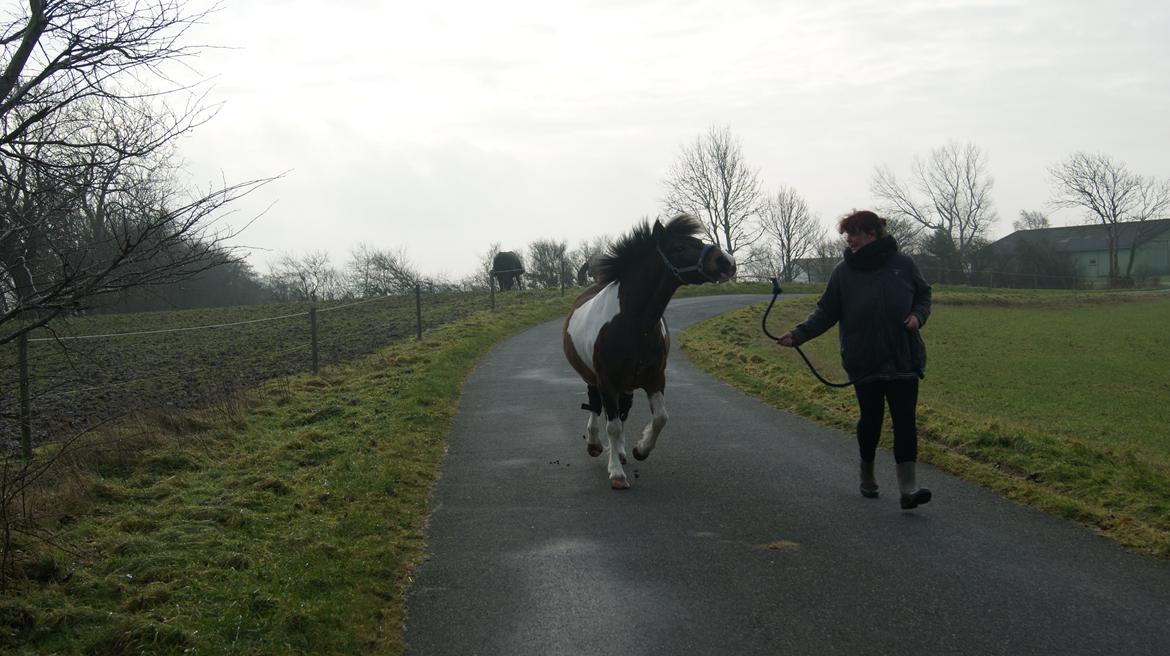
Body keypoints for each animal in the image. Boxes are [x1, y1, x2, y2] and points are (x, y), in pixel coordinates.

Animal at [561, 213, 734, 486]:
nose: (727, 261)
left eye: (697, 241)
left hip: (627, 385)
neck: (634, 323)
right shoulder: (606, 380)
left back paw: (620, 452)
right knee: (597, 406)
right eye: (679, 247)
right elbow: (612, 425)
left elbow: (660, 418)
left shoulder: (654, 378)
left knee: (622, 412)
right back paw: (595, 445)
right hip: (594, 378)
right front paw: (616, 474)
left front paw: (640, 450)